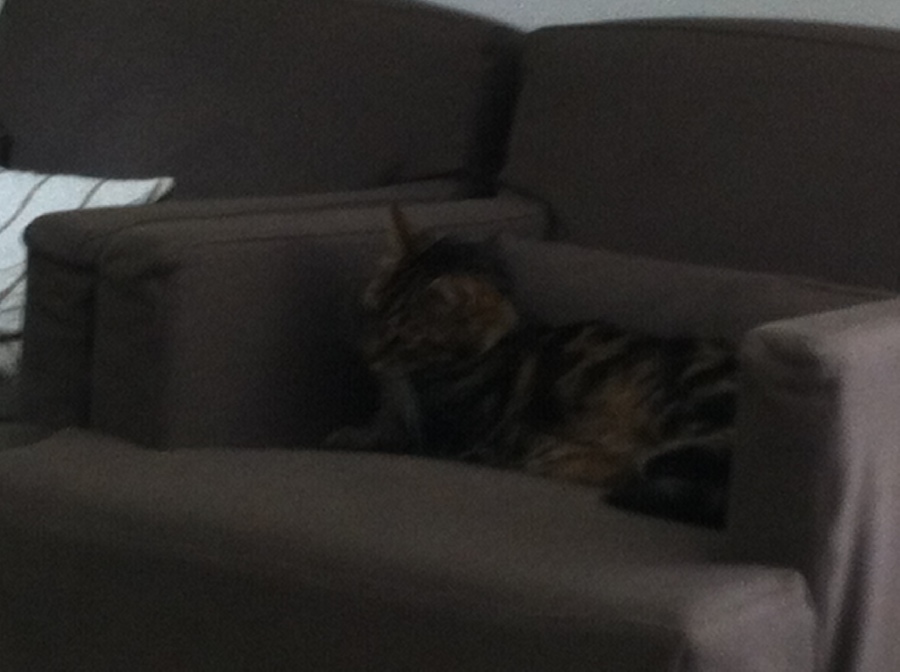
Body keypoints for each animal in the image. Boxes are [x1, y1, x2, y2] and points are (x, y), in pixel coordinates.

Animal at [325, 205, 737, 527]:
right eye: (373, 314)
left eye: (402, 336)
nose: (368, 355)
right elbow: (380, 426)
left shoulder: (449, 436)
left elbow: (389, 439)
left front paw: (344, 438)